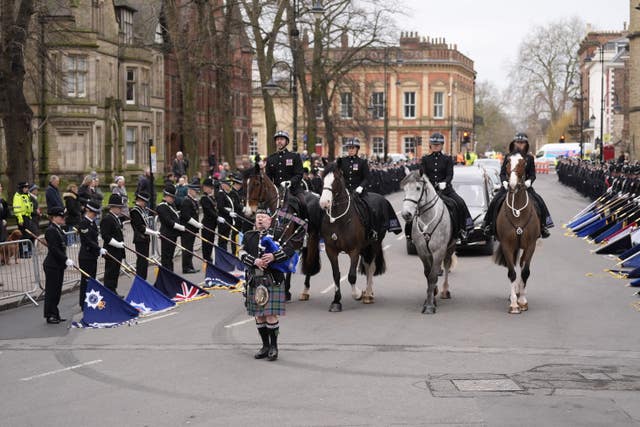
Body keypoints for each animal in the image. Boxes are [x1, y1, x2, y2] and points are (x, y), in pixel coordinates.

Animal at [318, 162, 388, 312]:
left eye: (336, 179)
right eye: (322, 179)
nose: (324, 203)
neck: (339, 220)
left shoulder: (354, 250)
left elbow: (351, 276)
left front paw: (357, 294)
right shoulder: (330, 250)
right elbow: (336, 275)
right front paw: (336, 301)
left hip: (374, 244)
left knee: (371, 266)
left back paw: (368, 294)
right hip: (365, 247)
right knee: (367, 265)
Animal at [400, 171, 456, 314]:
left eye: (418, 188)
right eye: (404, 189)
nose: (406, 214)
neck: (427, 218)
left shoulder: (438, 251)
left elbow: (432, 276)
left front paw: (430, 306)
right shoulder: (422, 252)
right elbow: (428, 274)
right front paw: (431, 297)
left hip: (450, 247)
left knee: (446, 265)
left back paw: (445, 290)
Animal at [496, 154, 540, 314]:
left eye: (523, 163)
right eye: (507, 163)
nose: (512, 186)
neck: (518, 212)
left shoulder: (531, 245)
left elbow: (525, 272)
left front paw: (522, 301)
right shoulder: (507, 245)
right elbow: (512, 273)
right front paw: (514, 304)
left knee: (521, 265)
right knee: (515, 266)